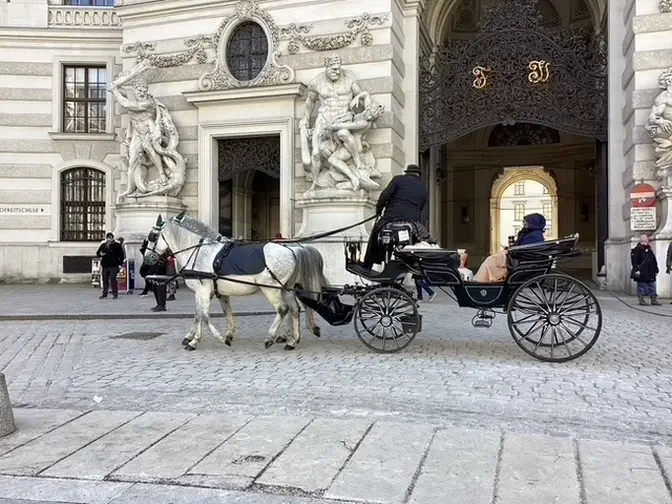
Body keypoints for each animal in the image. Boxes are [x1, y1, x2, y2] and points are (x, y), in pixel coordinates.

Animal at [144, 213, 328, 350]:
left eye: (152, 237)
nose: (147, 260)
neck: (200, 252)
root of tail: (292, 250)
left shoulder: (203, 291)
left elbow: (204, 316)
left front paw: (201, 340)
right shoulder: (213, 292)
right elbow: (205, 314)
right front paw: (217, 335)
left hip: (272, 289)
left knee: (282, 309)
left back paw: (270, 338)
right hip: (286, 288)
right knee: (295, 309)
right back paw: (292, 340)